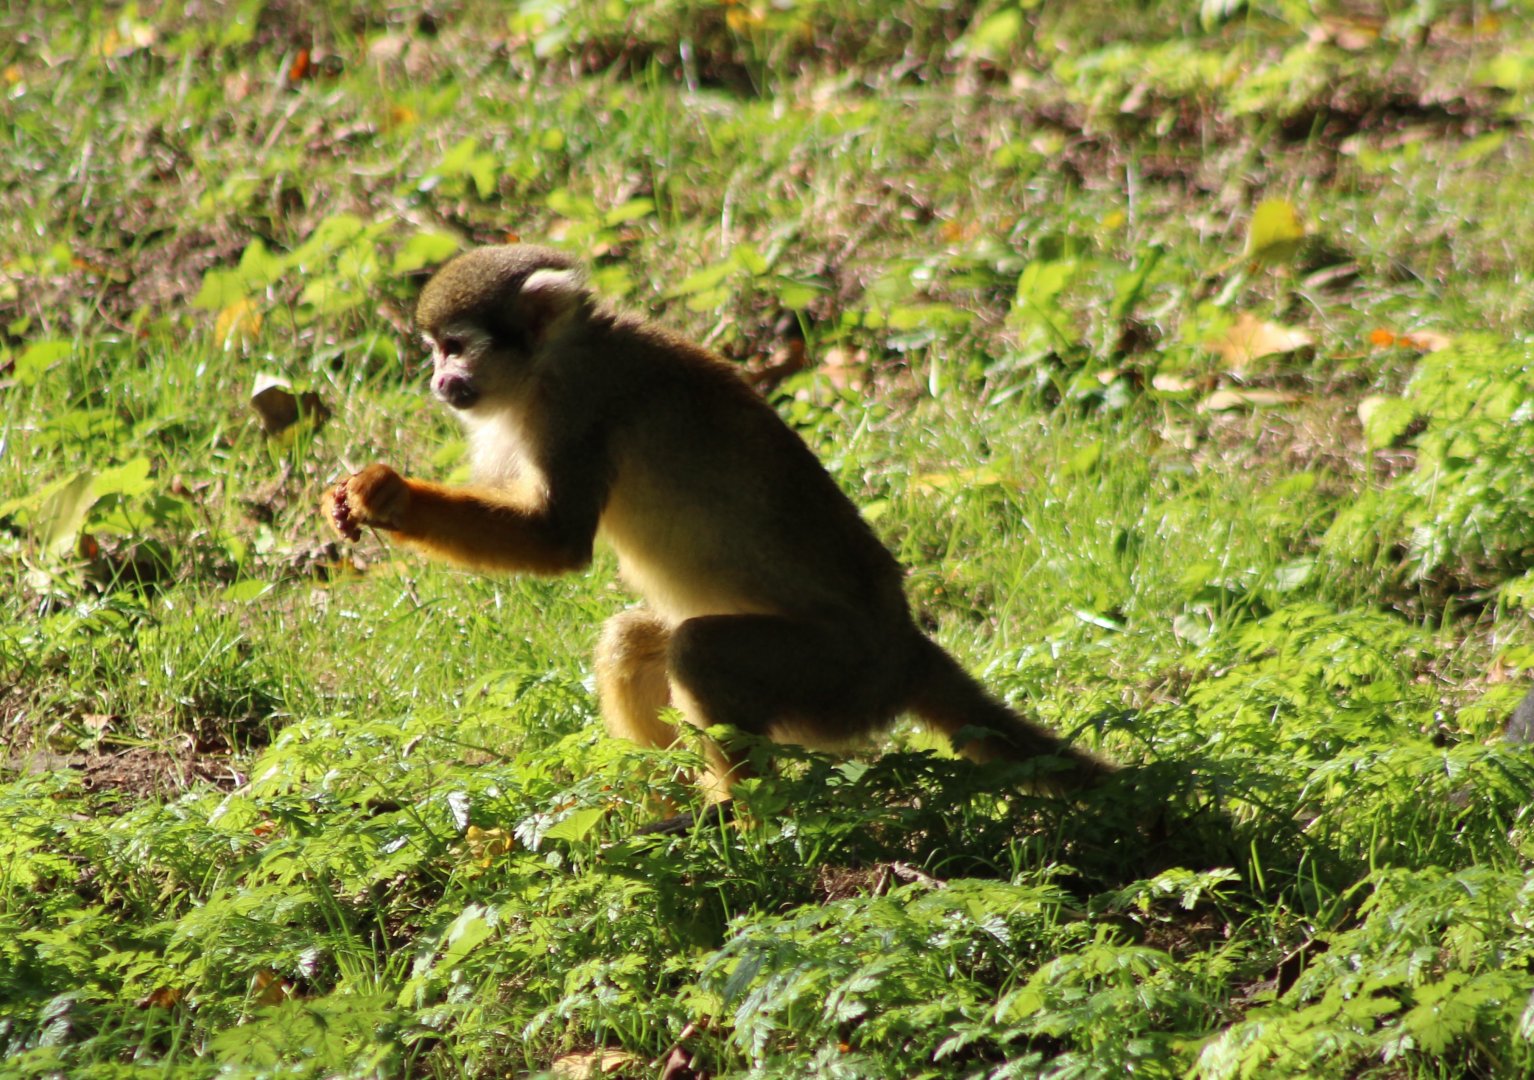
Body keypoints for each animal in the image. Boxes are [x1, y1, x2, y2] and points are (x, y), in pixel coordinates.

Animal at [323, 244, 1114, 810]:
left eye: (454, 346)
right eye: (435, 350)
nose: (438, 381)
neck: (554, 359)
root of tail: (905, 644)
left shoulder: (575, 404)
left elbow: (558, 539)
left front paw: (392, 498)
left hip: (840, 682)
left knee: (702, 652)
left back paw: (739, 810)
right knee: (637, 638)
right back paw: (663, 790)